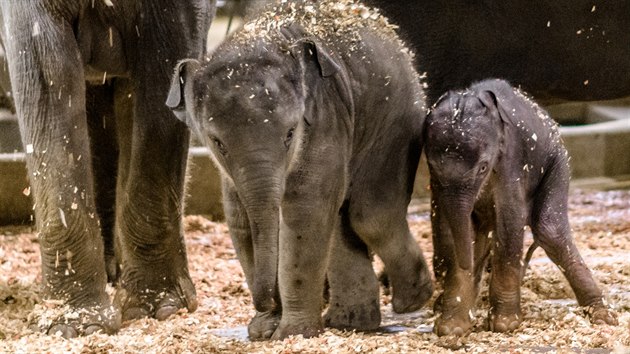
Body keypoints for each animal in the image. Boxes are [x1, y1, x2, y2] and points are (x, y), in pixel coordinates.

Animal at [428, 79, 620, 336]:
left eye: (483, 167)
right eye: (432, 166)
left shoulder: (512, 160)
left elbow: (509, 219)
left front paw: (504, 324)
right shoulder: (436, 185)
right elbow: (449, 228)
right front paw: (452, 327)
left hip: (559, 164)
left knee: (550, 231)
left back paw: (602, 316)